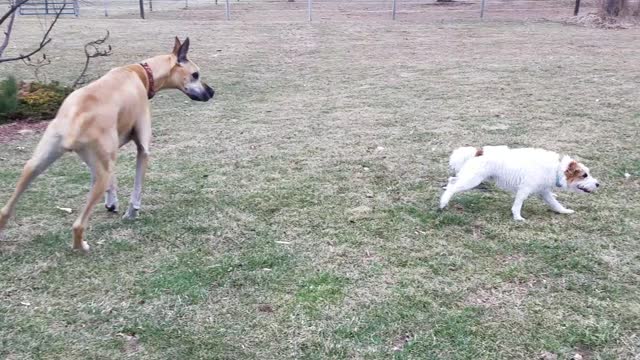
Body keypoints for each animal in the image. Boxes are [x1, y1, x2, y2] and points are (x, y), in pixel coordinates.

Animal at [0, 36, 215, 250]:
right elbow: (137, 187)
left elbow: (113, 181)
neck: (143, 73)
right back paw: (82, 246)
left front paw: (112, 203)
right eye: (195, 74)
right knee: (78, 225)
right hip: (100, 172)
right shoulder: (143, 149)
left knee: (6, 208)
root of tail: (77, 117)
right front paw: (132, 212)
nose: (212, 92)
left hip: (37, 163)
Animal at [440, 146, 600, 219]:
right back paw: (443, 203)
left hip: (469, 177)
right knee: (453, 187)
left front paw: (564, 211)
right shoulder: (524, 189)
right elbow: (517, 205)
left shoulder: (544, 191)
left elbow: (555, 204)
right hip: (472, 180)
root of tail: (479, 151)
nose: (598, 184)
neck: (556, 169)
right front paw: (517, 218)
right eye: (584, 175)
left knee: (451, 180)